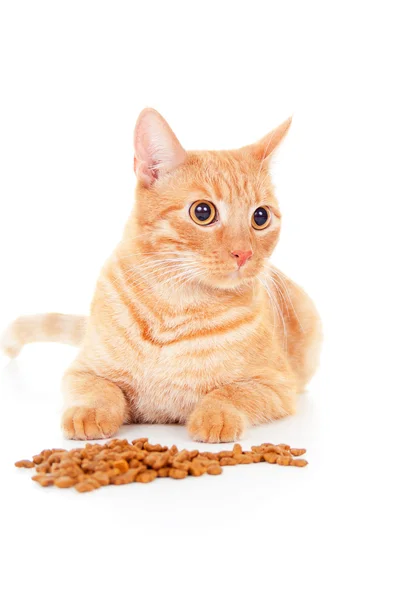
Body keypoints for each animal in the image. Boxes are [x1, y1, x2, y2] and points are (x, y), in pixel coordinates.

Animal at [1, 110, 322, 442]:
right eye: (203, 212)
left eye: (260, 217)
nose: (243, 253)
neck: (174, 305)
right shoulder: (82, 371)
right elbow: (99, 390)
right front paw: (89, 413)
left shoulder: (277, 385)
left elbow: (230, 393)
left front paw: (214, 417)